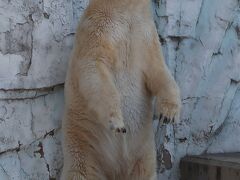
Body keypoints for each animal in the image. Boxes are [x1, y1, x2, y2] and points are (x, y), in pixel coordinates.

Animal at [61, 0, 181, 179]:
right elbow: (94, 67)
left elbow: (157, 68)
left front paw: (168, 114)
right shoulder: (99, 27)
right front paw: (117, 122)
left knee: (145, 172)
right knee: (81, 171)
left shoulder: (144, 32)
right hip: (83, 142)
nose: (166, 116)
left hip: (144, 152)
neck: (125, 9)